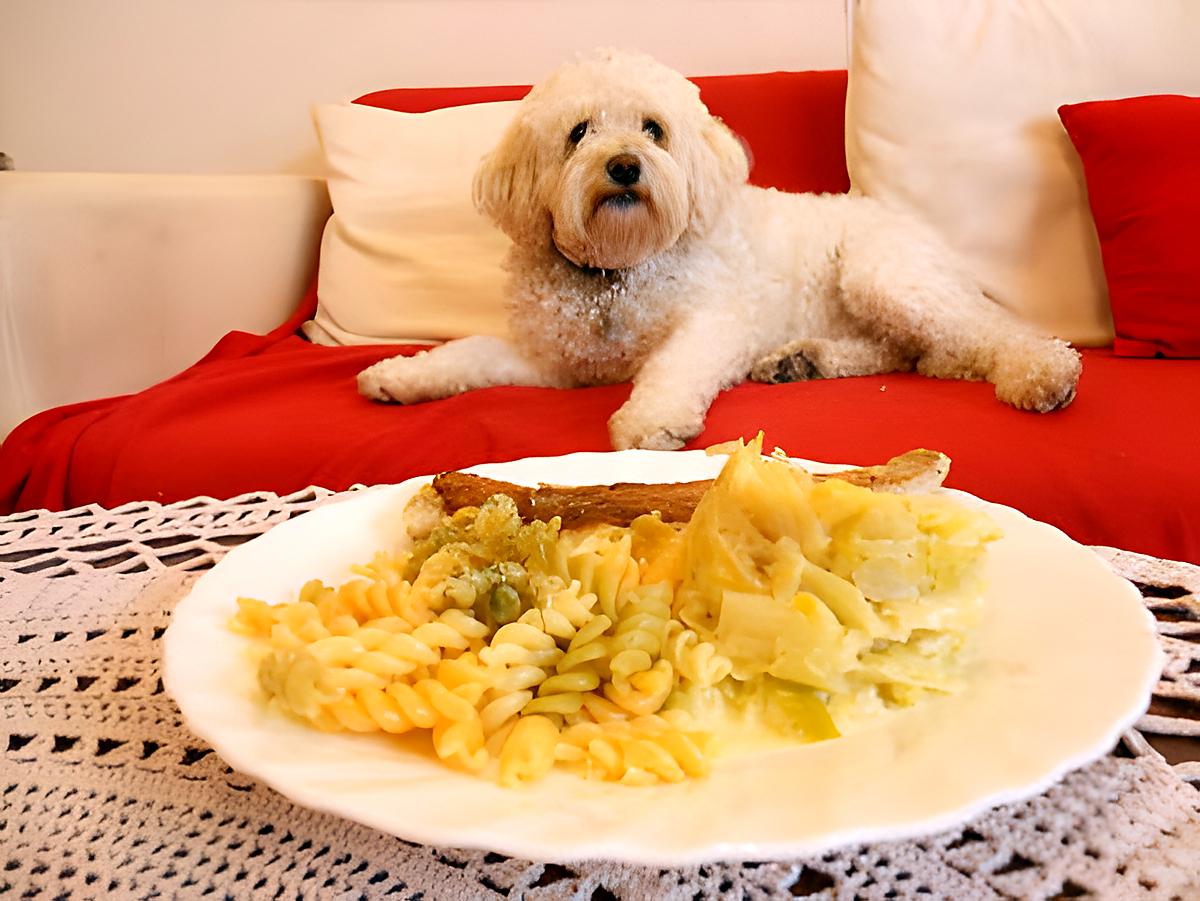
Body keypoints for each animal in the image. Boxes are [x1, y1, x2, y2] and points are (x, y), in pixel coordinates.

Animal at [355, 49, 1080, 451]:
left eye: (653, 129)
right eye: (579, 131)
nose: (624, 165)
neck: (616, 272)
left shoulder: (713, 324)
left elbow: (672, 366)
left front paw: (649, 422)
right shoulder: (550, 362)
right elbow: (466, 355)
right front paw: (399, 375)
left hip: (882, 276)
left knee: (981, 334)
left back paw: (1042, 372)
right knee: (908, 352)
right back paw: (802, 360)